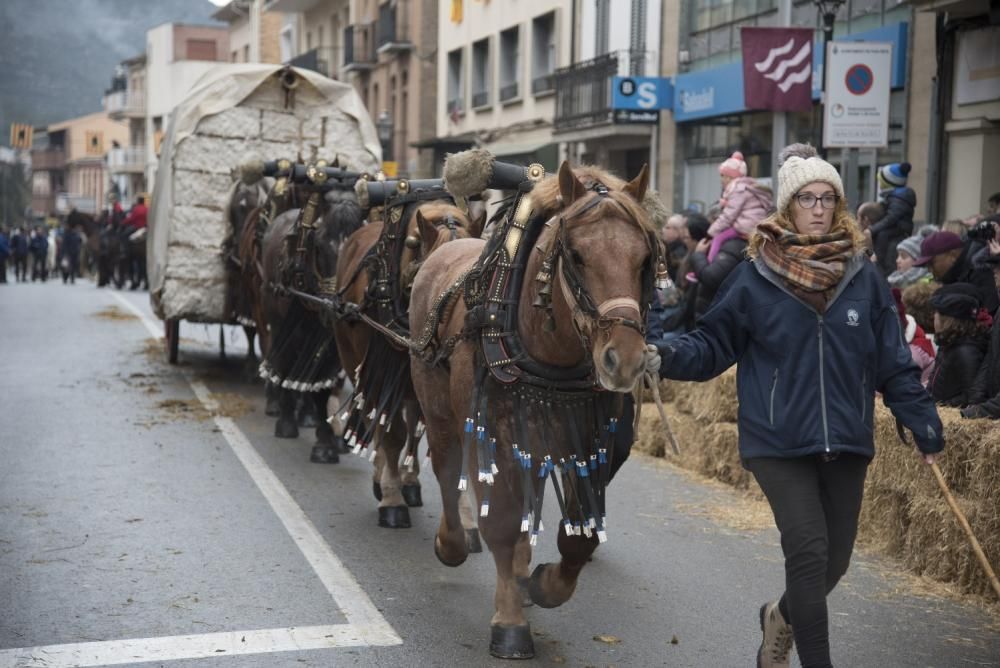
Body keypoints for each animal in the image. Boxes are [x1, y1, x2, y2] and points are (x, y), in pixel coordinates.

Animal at [260, 181, 366, 464]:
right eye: (319, 247)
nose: (334, 309)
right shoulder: (293, 331)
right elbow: (295, 373)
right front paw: (308, 434)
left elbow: (328, 384)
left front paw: (332, 439)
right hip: (273, 319)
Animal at [332, 184, 484, 532]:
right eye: (436, 269)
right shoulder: (384, 371)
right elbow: (391, 434)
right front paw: (391, 499)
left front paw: (463, 515)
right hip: (354, 357)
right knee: (376, 417)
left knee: (414, 423)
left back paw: (410, 481)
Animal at [406, 159, 664, 660]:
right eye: (577, 256)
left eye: (645, 259)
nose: (624, 361)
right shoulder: (495, 437)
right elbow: (502, 523)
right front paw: (509, 622)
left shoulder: (584, 440)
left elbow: (579, 535)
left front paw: (545, 584)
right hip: (438, 404)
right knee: (445, 469)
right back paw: (452, 541)